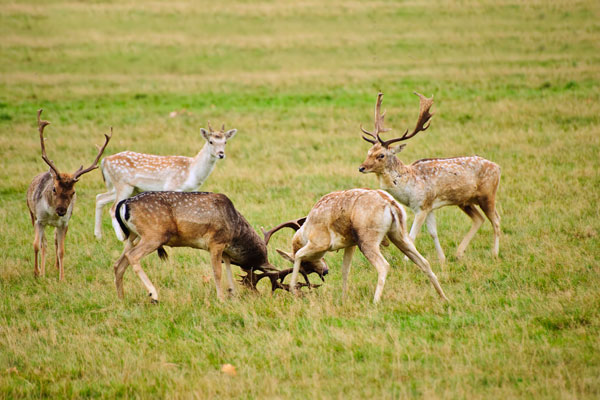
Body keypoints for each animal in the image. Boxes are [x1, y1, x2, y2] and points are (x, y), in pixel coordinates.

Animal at [26, 108, 112, 280]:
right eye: (54, 189)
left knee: (53, 242)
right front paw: (37, 273)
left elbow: (61, 250)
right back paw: (42, 271)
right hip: (32, 214)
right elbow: (36, 245)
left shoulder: (64, 223)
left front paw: (62, 277)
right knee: (44, 244)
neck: (52, 214)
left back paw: (55, 267)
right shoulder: (39, 219)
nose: (61, 210)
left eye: (73, 192)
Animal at [94, 121, 237, 241]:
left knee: (100, 197)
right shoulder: (172, 185)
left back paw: (98, 236)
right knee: (112, 208)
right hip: (123, 185)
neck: (192, 171)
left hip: (123, 188)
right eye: (211, 141)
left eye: (225, 142)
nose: (221, 154)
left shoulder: (192, 190)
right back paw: (121, 238)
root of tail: (104, 161)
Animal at [112, 192, 328, 302]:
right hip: (154, 234)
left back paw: (121, 299)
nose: (325, 270)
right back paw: (153, 295)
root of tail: (124, 204)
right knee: (132, 257)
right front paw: (222, 298)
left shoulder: (225, 250)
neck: (235, 230)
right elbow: (217, 272)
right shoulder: (215, 242)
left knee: (118, 263)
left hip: (132, 236)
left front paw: (232, 294)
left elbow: (228, 268)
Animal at [266, 189, 446, 302]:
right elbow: (345, 270)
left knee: (383, 266)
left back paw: (375, 302)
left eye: (306, 265)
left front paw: (293, 290)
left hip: (368, 244)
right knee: (424, 262)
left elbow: (298, 254)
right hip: (399, 237)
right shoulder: (350, 246)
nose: (324, 271)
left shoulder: (319, 244)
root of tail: (390, 203)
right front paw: (343, 298)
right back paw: (443, 297)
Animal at [356, 92, 502, 264]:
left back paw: (494, 254)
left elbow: (412, 235)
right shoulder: (429, 206)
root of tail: (497, 167)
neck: (409, 186)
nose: (361, 167)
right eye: (368, 152)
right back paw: (458, 253)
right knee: (479, 219)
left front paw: (407, 260)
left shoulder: (421, 206)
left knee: (496, 220)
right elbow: (433, 233)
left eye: (381, 155)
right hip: (465, 201)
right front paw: (442, 259)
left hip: (488, 194)